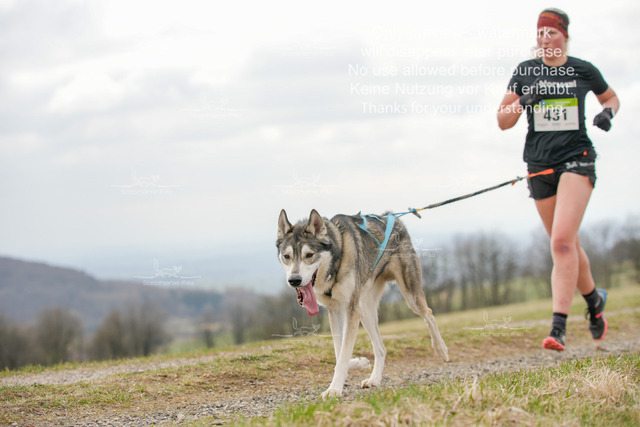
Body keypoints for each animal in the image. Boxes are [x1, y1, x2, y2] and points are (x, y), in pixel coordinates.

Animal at [276, 209, 449, 398]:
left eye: (309, 255)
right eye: (287, 256)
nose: (294, 280)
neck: (337, 260)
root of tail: (393, 217)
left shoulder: (351, 310)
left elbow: (343, 354)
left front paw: (334, 389)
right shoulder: (335, 311)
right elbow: (340, 352)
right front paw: (358, 362)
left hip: (410, 296)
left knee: (429, 314)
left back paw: (441, 349)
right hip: (365, 312)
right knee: (381, 349)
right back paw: (374, 379)